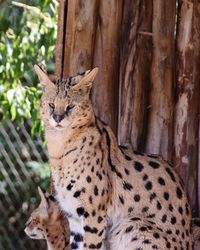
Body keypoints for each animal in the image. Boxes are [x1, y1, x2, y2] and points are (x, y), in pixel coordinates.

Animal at [34, 65, 192, 249]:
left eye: (70, 106)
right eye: (51, 105)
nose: (57, 118)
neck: (60, 150)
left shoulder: (94, 213)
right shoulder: (74, 216)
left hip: (131, 223)